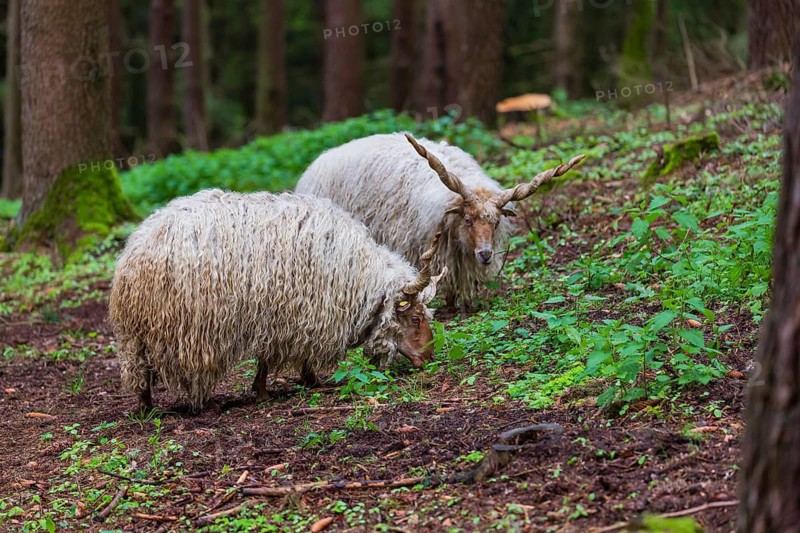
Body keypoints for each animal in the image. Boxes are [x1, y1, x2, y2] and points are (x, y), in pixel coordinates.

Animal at [109, 189, 447, 412]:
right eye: (415, 318)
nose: (429, 358)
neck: (359, 278)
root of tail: (135, 253)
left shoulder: (277, 316)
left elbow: (266, 358)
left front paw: (264, 390)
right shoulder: (302, 314)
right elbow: (284, 356)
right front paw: (305, 382)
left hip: (138, 332)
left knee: (140, 369)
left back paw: (147, 407)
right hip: (188, 327)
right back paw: (202, 404)